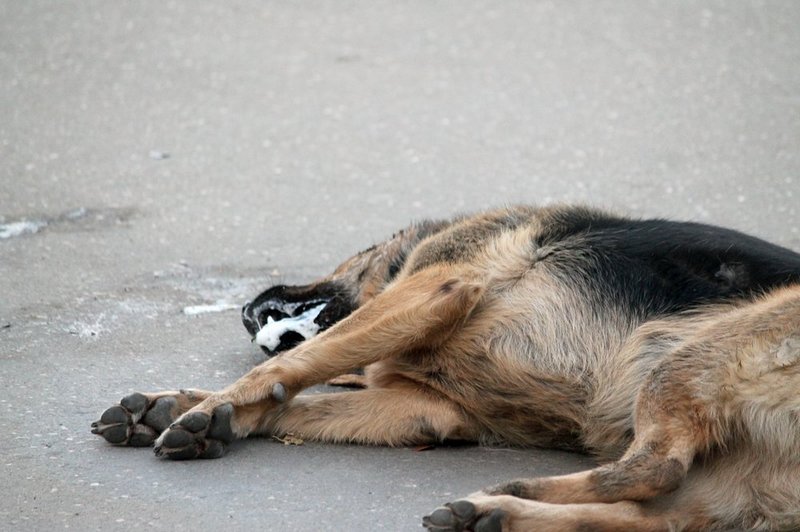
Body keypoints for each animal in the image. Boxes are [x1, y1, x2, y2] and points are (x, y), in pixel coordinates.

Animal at [94, 205, 800, 532]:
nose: (246, 313)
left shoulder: (437, 283)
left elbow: (301, 362)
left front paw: (209, 408)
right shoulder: (427, 408)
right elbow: (297, 394)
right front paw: (179, 406)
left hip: (684, 351)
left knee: (654, 468)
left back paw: (510, 491)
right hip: (725, 476)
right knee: (660, 511)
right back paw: (498, 513)